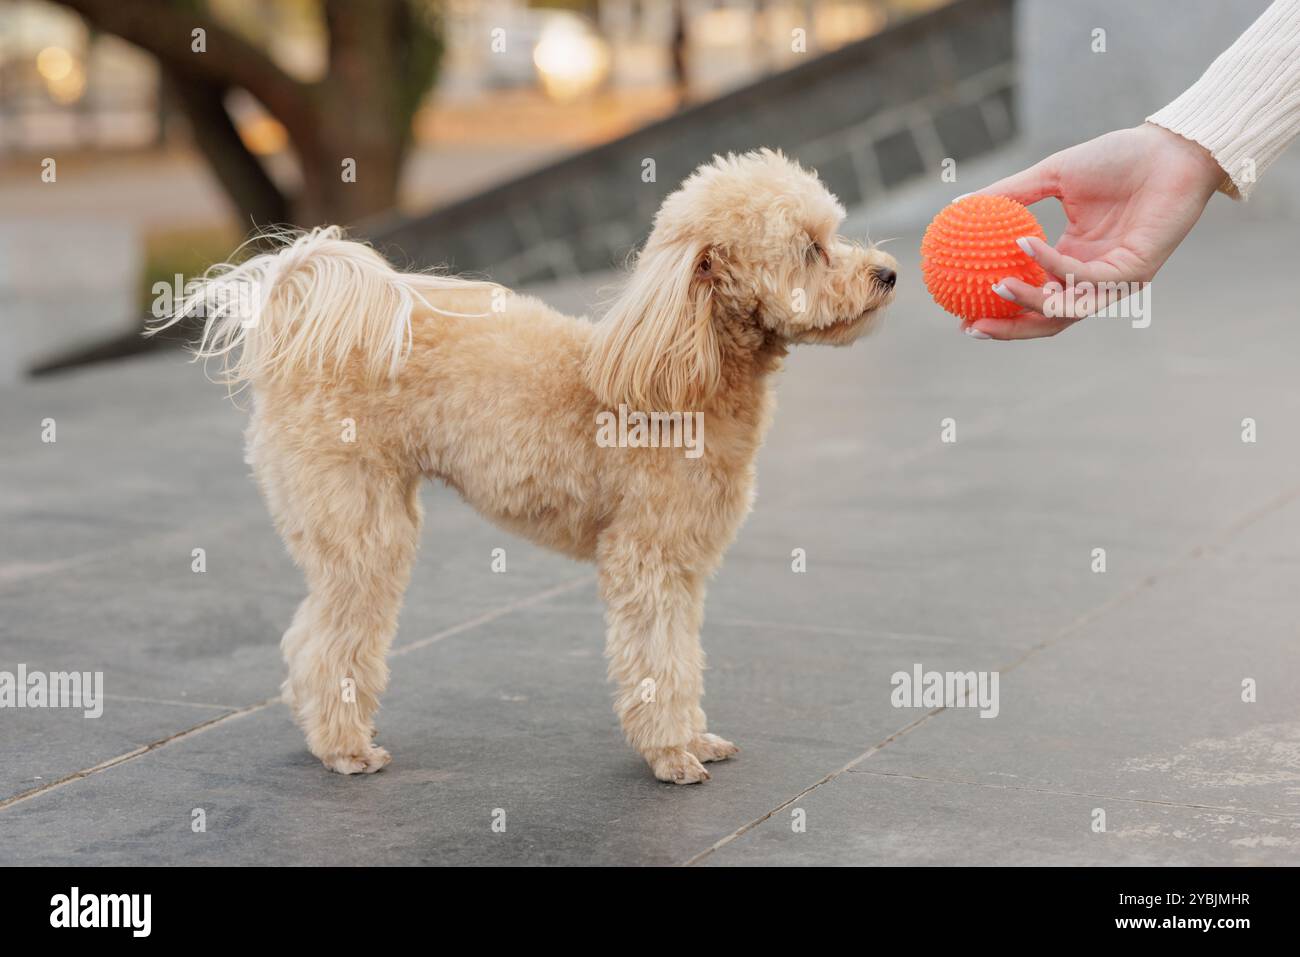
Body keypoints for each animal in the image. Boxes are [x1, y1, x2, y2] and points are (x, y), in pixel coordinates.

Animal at [154, 147, 894, 780]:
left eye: (832, 235)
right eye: (811, 250)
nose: (887, 273)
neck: (686, 365)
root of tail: (293, 327)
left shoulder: (682, 565)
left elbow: (681, 657)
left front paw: (693, 737)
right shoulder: (646, 559)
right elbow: (656, 659)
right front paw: (670, 754)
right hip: (360, 521)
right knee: (326, 635)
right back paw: (343, 747)